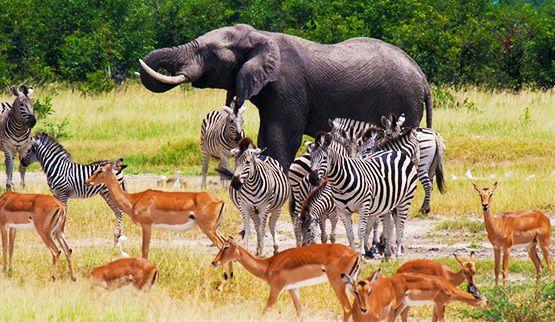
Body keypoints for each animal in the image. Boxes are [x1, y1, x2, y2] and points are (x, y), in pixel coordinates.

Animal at [137, 24, 432, 170]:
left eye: (210, 53)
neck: (260, 37)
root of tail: (423, 77)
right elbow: (265, 136)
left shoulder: (288, 87)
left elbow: (283, 137)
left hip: (404, 104)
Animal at [212, 235, 360, 320]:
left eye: (225, 247)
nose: (214, 262)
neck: (268, 265)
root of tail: (355, 254)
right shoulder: (292, 289)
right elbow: (300, 312)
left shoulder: (276, 289)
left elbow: (265, 310)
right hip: (352, 285)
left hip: (338, 284)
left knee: (347, 308)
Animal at [308, 130, 416, 258]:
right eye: (310, 158)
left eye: (324, 158)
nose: (312, 179)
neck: (341, 184)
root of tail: (396, 152)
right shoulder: (342, 211)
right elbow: (349, 233)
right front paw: (353, 253)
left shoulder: (364, 206)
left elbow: (361, 230)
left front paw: (361, 253)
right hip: (386, 203)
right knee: (389, 225)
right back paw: (387, 254)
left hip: (405, 200)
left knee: (400, 224)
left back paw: (398, 252)